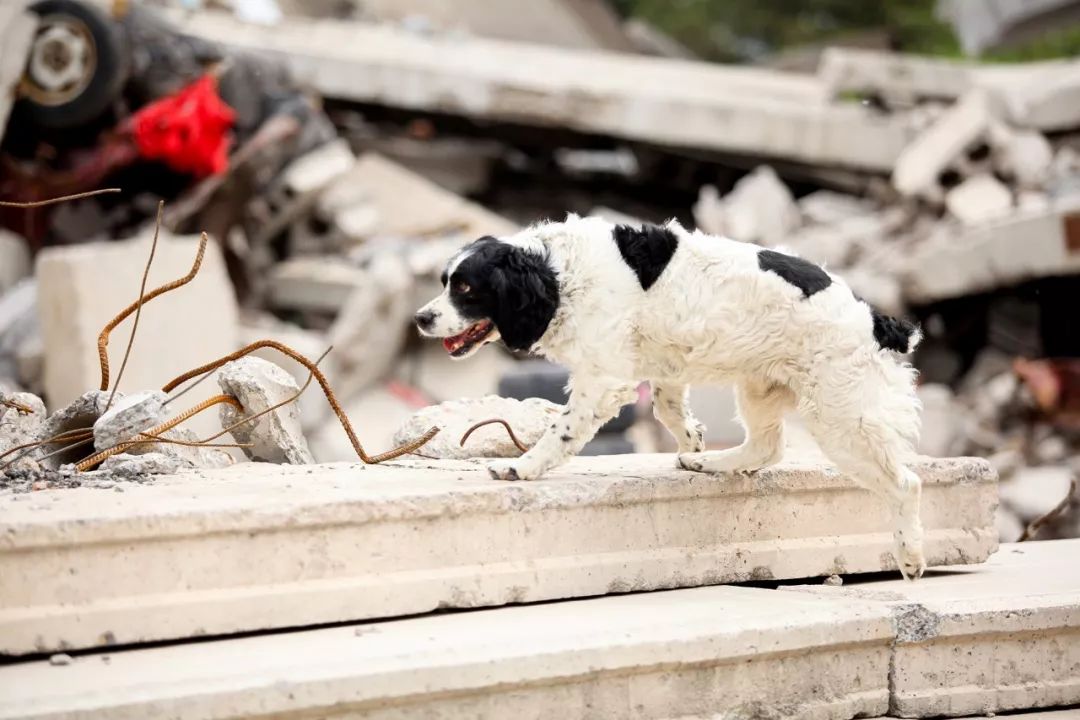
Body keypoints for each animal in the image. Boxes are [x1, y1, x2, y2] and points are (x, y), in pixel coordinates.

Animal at [416, 213, 924, 578]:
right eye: (444, 282)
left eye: (465, 287)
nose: (421, 318)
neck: (558, 274)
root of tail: (877, 320)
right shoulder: (662, 363)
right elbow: (667, 406)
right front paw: (693, 441)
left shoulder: (604, 376)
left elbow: (562, 430)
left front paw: (521, 467)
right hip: (761, 386)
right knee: (767, 446)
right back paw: (711, 463)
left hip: (841, 417)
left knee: (906, 484)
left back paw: (910, 555)